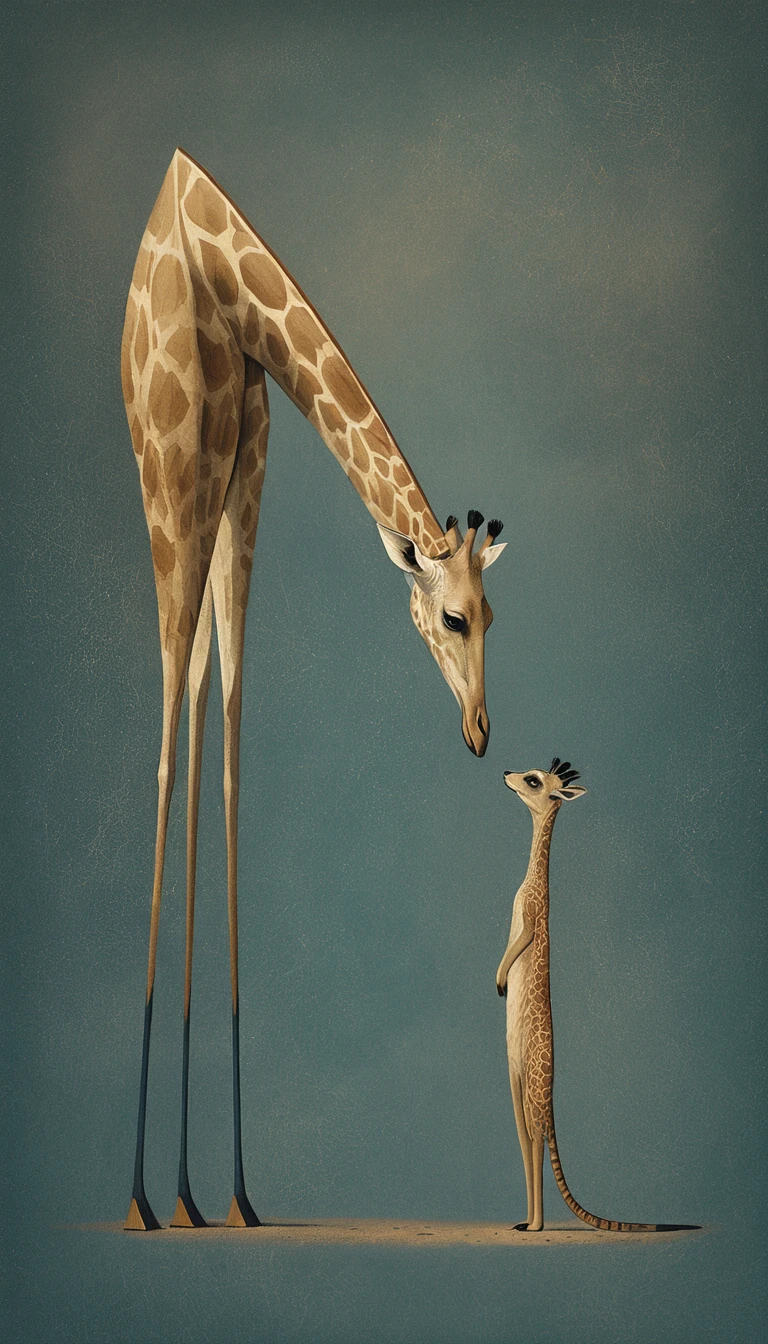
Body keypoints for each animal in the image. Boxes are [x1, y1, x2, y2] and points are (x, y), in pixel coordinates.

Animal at [120, 148, 507, 1231]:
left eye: (493, 618)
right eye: (454, 620)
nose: (481, 734)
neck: (229, 279)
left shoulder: (251, 458)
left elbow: (230, 740)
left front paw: (229, 1192)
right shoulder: (194, 470)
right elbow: (179, 750)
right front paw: (154, 1197)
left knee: (201, 710)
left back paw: (197, 1194)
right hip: (165, 495)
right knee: (167, 730)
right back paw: (144, 1197)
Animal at [497, 760, 669, 1232]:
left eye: (533, 780)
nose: (505, 774)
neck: (529, 881)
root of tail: (550, 1092)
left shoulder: (531, 913)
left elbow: (521, 940)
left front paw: (501, 979)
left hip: (533, 1085)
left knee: (535, 1138)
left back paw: (536, 1225)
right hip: (515, 1073)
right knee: (524, 1134)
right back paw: (526, 1221)